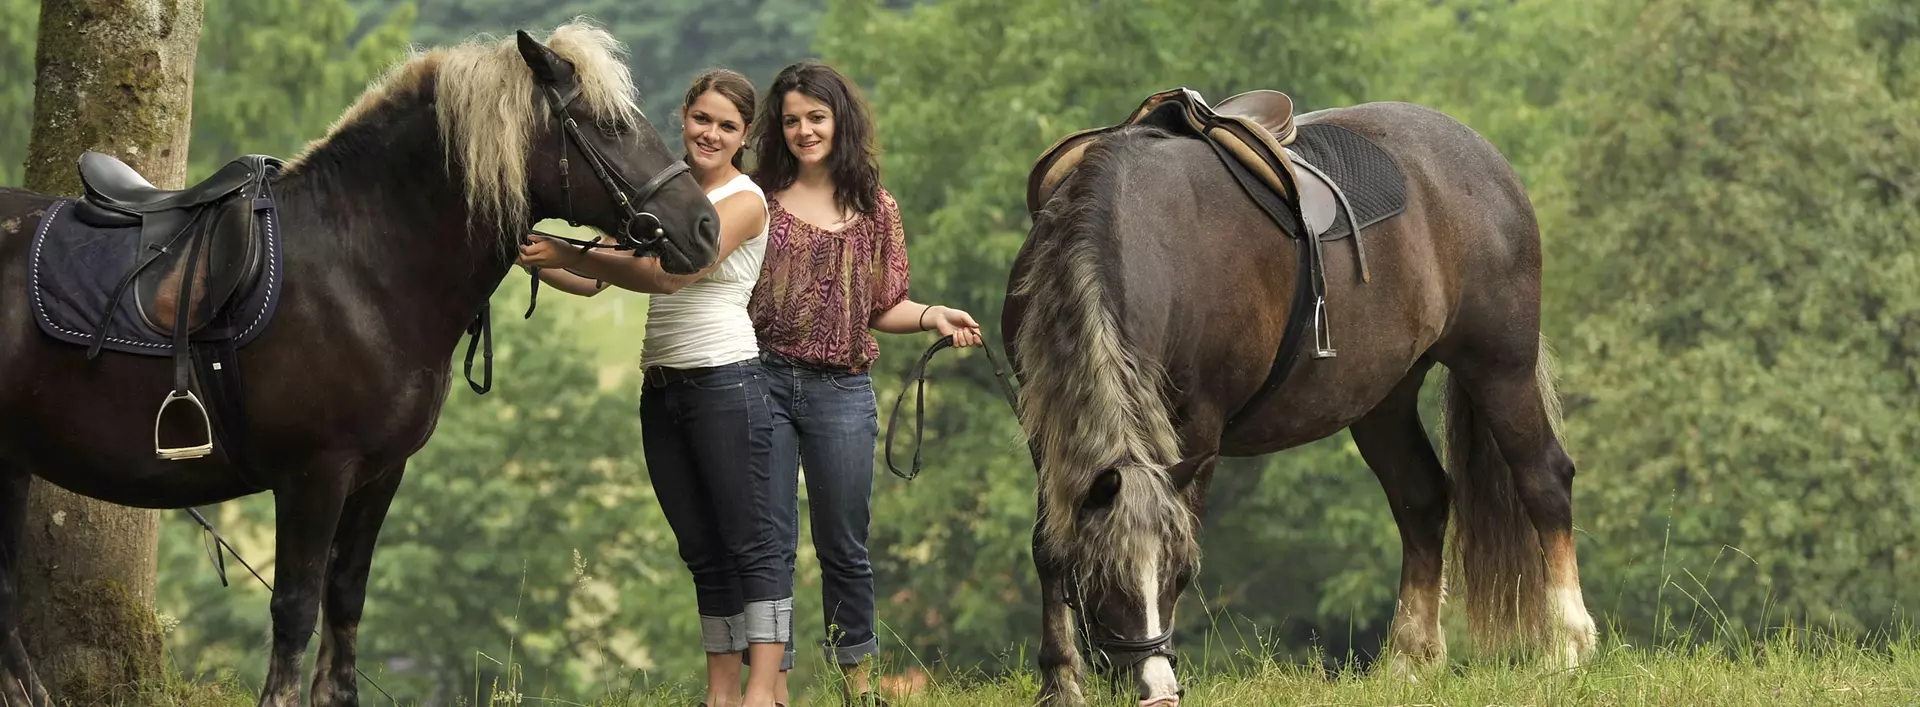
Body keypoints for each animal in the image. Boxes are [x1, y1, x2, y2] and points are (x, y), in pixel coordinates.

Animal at [0, 22, 721, 707]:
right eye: (610, 125)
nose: (707, 228)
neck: (360, 265)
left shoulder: (379, 475)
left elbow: (344, 600)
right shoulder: (313, 475)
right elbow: (295, 611)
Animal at [998, 89, 1597, 707]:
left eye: (1177, 572)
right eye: (1097, 578)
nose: (1158, 690)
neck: (1136, 228)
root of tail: (1483, 158)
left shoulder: (1198, 427)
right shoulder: (1045, 425)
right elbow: (1048, 545)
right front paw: (1060, 681)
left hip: (1499, 365)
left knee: (1544, 478)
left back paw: (1568, 647)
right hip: (1383, 397)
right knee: (1422, 498)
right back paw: (1411, 660)